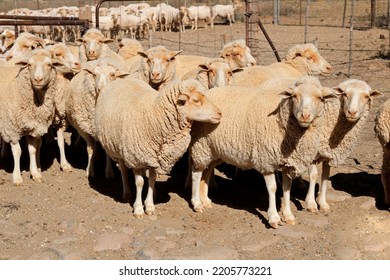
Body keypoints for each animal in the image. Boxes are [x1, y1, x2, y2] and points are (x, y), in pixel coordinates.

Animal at [0, 49, 65, 185]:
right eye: (29, 65)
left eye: (50, 65)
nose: (38, 79)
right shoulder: (12, 129)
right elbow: (18, 152)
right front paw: (17, 177)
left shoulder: (31, 127)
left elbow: (32, 150)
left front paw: (35, 173)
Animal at [95, 77, 222, 218]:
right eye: (195, 100)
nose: (220, 113)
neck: (155, 115)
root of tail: (121, 79)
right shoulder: (135, 158)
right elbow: (139, 182)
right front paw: (138, 209)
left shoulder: (156, 158)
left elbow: (152, 179)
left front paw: (149, 206)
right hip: (118, 149)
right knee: (123, 168)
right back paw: (127, 193)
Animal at [189, 76, 338, 228]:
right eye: (294, 96)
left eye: (320, 98)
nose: (305, 116)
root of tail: (208, 93)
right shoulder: (266, 161)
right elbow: (272, 188)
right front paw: (274, 218)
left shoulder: (287, 163)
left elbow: (287, 187)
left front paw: (288, 215)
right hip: (201, 145)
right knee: (196, 173)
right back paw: (197, 203)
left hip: (214, 150)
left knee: (207, 171)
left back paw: (205, 200)